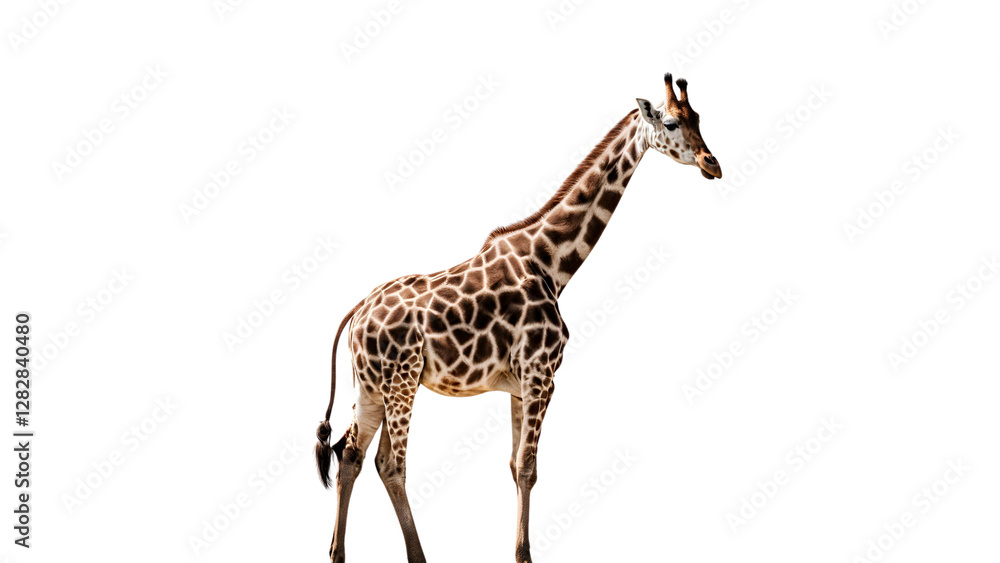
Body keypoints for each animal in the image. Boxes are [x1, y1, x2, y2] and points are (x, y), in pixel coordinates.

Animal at [315, 73, 721, 563]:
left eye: (698, 118)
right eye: (671, 122)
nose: (713, 164)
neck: (552, 262)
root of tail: (357, 312)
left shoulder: (518, 383)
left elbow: (514, 466)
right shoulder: (541, 372)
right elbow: (528, 467)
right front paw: (525, 555)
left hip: (373, 386)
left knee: (351, 455)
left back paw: (337, 553)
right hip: (401, 381)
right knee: (391, 464)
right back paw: (417, 557)